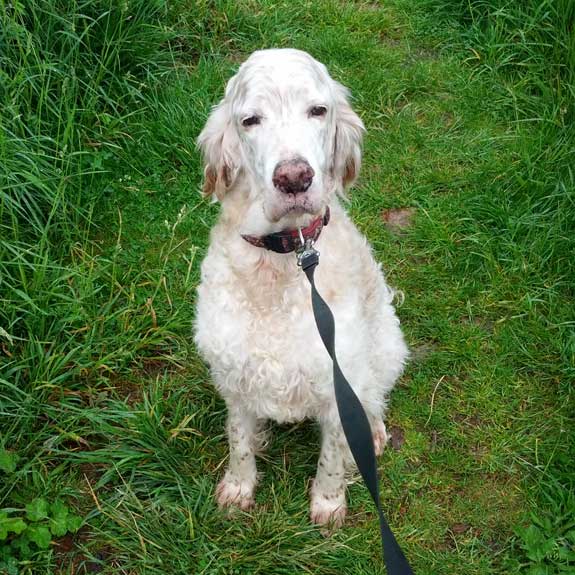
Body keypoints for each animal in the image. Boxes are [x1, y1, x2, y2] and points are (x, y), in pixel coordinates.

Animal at [195, 48, 410, 528]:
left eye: (318, 110)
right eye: (250, 120)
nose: (294, 178)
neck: (282, 260)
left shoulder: (339, 381)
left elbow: (332, 455)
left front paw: (328, 503)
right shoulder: (233, 371)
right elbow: (238, 439)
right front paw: (238, 488)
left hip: (388, 345)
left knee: (375, 398)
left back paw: (374, 432)